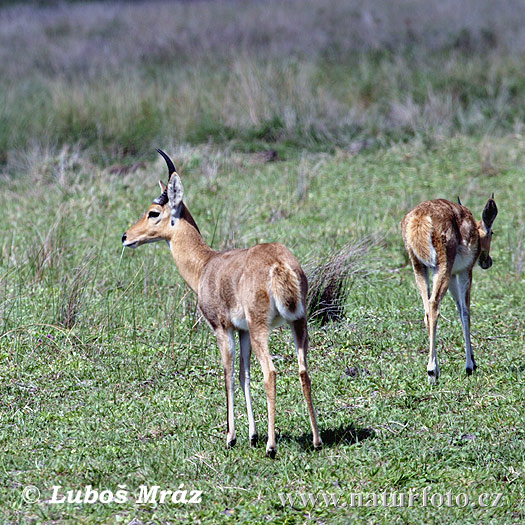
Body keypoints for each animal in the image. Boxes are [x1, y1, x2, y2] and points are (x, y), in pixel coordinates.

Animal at [122, 148, 322, 454]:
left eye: (153, 212)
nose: (126, 237)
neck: (206, 264)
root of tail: (279, 264)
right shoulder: (242, 331)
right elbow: (243, 375)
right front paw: (251, 434)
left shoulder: (221, 328)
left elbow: (227, 374)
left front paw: (231, 437)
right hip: (298, 323)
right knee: (303, 370)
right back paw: (316, 440)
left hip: (262, 328)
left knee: (271, 372)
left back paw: (271, 446)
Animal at [400, 195, 498, 380]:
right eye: (492, 232)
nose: (487, 261)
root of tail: (419, 217)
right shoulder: (465, 271)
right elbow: (465, 311)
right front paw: (470, 365)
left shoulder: (453, 274)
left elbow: (459, 308)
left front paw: (473, 360)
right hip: (441, 267)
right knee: (434, 305)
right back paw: (432, 371)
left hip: (420, 268)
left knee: (427, 310)